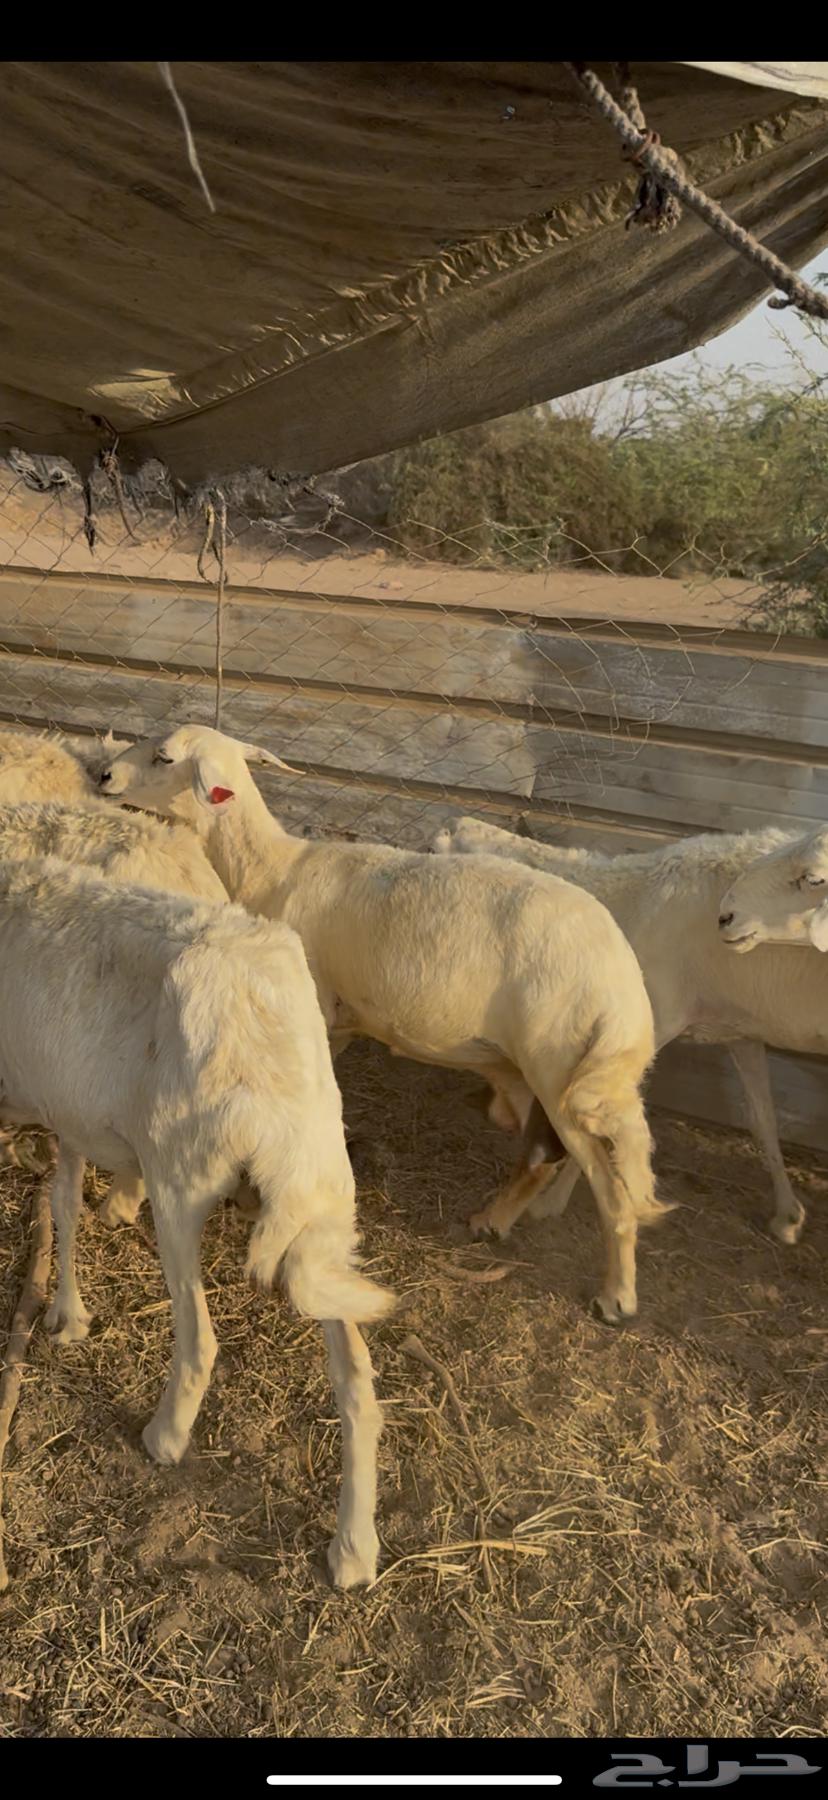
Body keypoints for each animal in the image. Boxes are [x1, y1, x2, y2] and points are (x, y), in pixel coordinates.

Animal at [0, 853, 393, 1588]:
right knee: (356, 1376)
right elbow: (65, 1199)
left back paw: (166, 1437)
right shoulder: (67, 1106)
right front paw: (69, 1311)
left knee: (200, 1339)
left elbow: (62, 1199)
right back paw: (355, 1548)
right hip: (323, 1189)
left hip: (182, 1179)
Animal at [98, 725, 667, 1325]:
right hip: (550, 1069)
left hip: (561, 1068)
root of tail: (627, 996)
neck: (271, 868)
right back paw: (493, 1222)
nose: (104, 774)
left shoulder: (318, 1010)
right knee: (545, 1158)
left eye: (163, 756)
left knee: (611, 1188)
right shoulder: (340, 1023)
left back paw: (616, 1295)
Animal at [432, 813, 823, 1245]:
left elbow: (596, 1111)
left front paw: (552, 1203)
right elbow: (763, 1121)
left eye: (434, 852)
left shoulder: (650, 1020)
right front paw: (787, 1215)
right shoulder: (740, 1031)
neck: (629, 898)